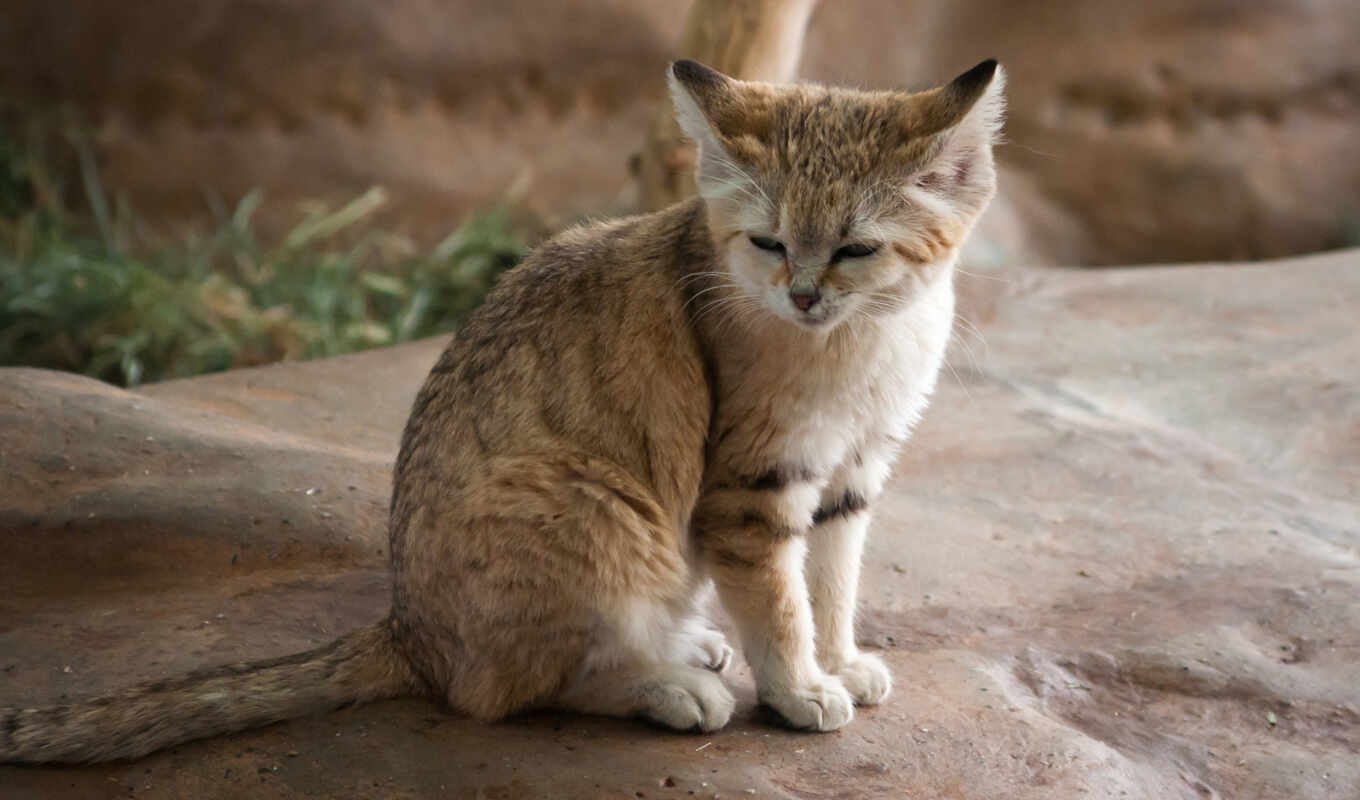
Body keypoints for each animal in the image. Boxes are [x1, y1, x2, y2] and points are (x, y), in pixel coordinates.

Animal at [0, 57, 1000, 761]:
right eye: (768, 242)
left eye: (855, 250)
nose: (800, 296)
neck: (870, 336)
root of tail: (409, 634)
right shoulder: (754, 484)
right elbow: (782, 601)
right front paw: (799, 689)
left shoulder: (852, 471)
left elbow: (830, 584)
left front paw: (840, 660)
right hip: (597, 506)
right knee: (499, 693)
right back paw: (670, 685)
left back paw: (692, 651)